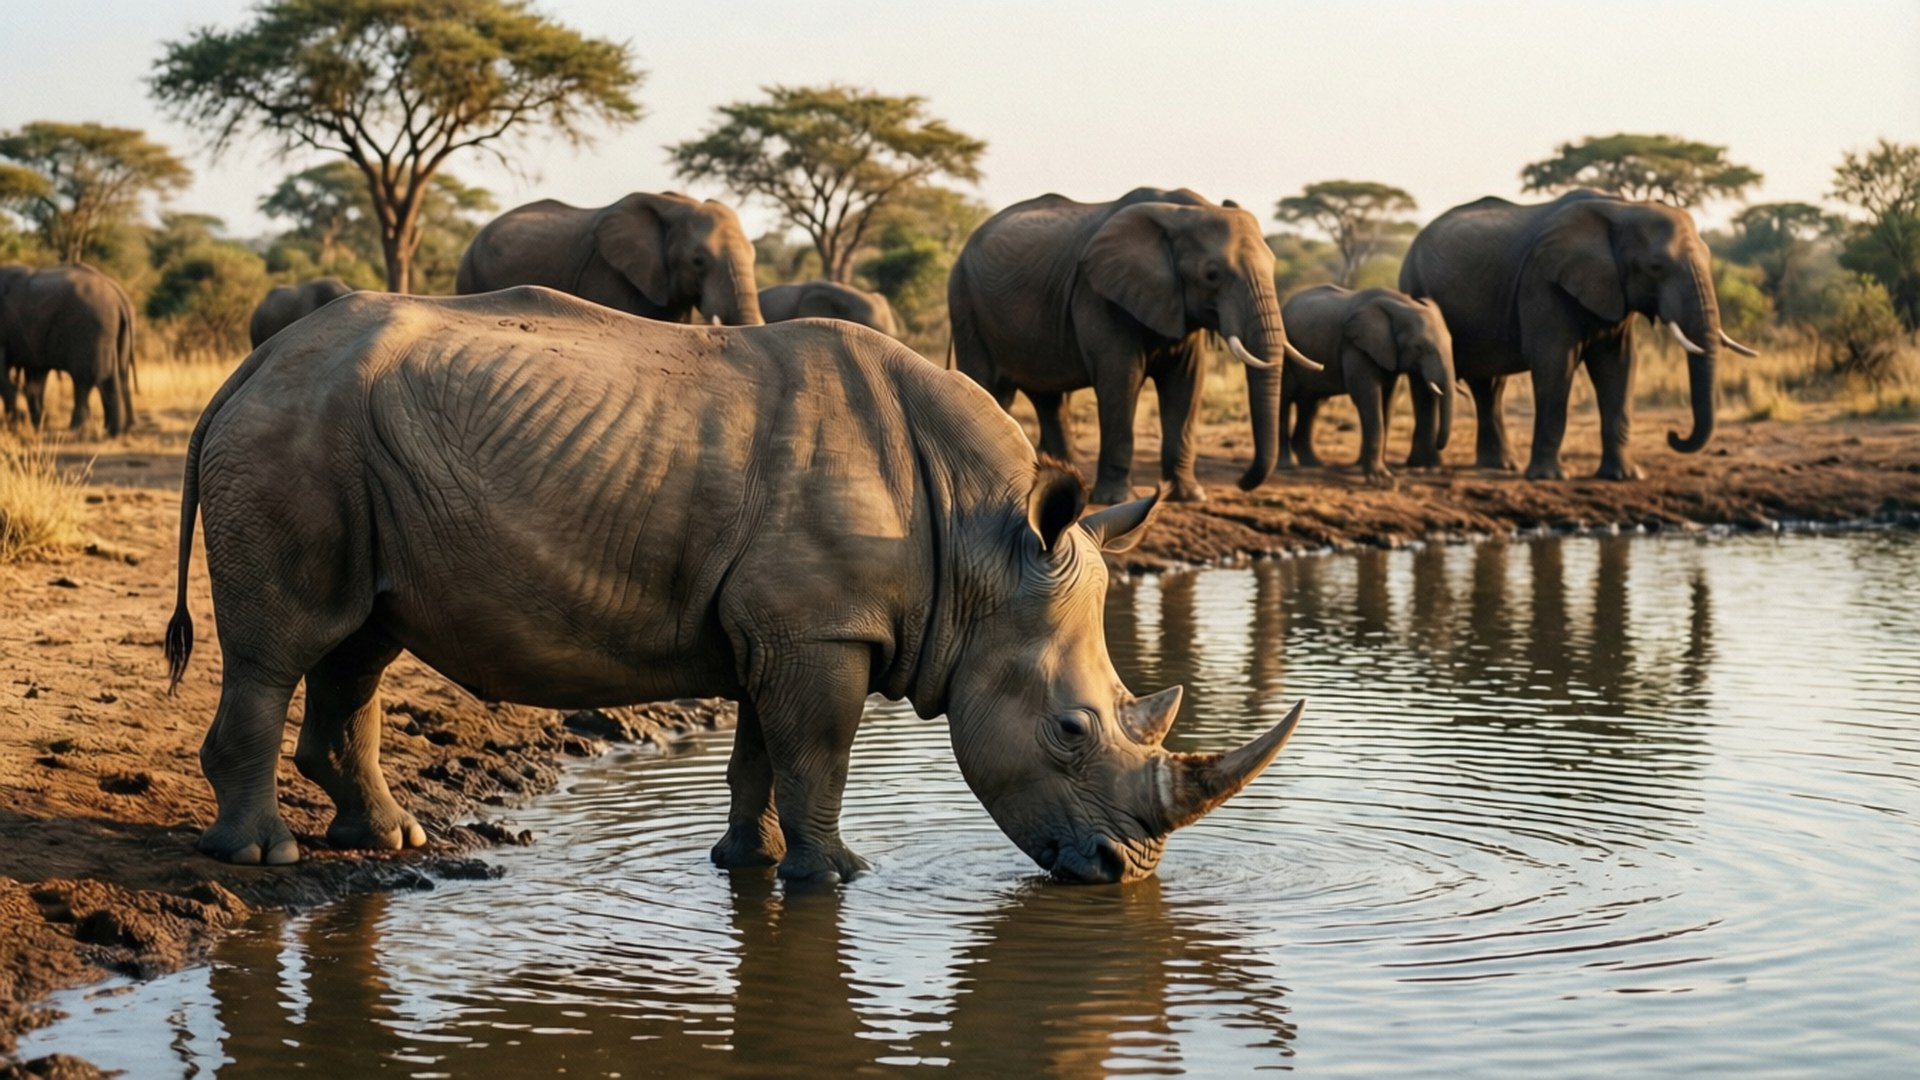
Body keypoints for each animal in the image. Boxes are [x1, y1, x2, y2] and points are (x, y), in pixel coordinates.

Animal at [0, 262, 136, 436]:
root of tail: (118, 296)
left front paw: (17, 425)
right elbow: (35, 377)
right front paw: (38, 424)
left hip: (91, 329)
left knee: (87, 379)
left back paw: (85, 430)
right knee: (120, 375)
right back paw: (119, 430)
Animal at [164, 285, 1304, 883]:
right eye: (1071, 731)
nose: (1122, 873)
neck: (988, 542)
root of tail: (243, 374)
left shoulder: (792, 625)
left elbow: (766, 752)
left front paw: (749, 867)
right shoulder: (822, 629)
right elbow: (817, 756)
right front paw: (838, 876)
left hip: (345, 447)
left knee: (361, 639)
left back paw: (386, 840)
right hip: (295, 438)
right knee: (282, 645)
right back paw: (261, 859)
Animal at [948, 187, 1322, 505]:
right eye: (1212, 274)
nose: (1241, 482)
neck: (1186, 212)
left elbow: (1186, 383)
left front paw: (1189, 496)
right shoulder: (1099, 295)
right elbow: (1121, 378)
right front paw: (1117, 500)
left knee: (1047, 398)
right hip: (965, 303)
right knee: (990, 388)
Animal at [1270, 285, 1456, 480]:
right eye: (1419, 347)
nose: (1439, 445)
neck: (1402, 304)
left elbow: (1387, 398)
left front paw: (1376, 469)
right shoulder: (1355, 345)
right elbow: (1367, 393)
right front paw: (1381, 478)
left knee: (1310, 403)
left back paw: (1313, 463)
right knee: (1285, 398)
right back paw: (1286, 465)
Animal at [1400, 190, 1756, 480]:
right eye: (1656, 267)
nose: (1673, 434)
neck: (1624, 208)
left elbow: (1619, 366)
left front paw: (1625, 477)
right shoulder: (1543, 281)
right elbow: (1555, 363)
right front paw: (1550, 478)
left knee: (1490, 385)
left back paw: (1500, 467)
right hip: (1414, 287)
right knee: (1427, 382)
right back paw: (1427, 467)